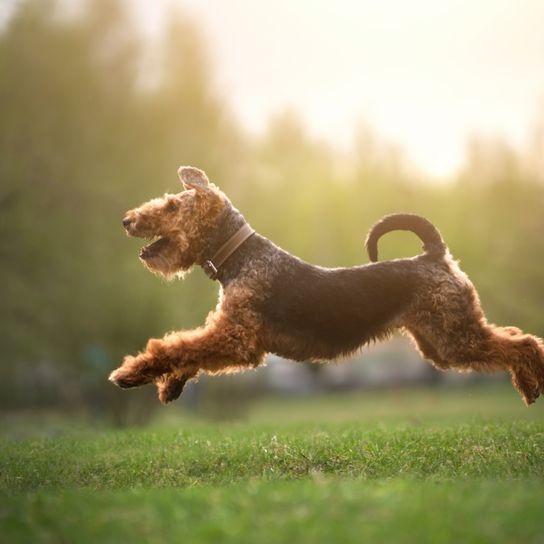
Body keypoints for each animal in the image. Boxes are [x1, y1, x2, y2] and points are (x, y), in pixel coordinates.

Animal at [109, 168, 544, 406]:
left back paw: (530, 387)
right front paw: (171, 387)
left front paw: (131, 373)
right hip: (440, 343)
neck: (239, 257)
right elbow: (187, 348)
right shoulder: (234, 338)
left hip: (454, 338)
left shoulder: (237, 338)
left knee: (523, 343)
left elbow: (177, 345)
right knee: (513, 337)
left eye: (171, 206)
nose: (127, 220)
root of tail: (435, 255)